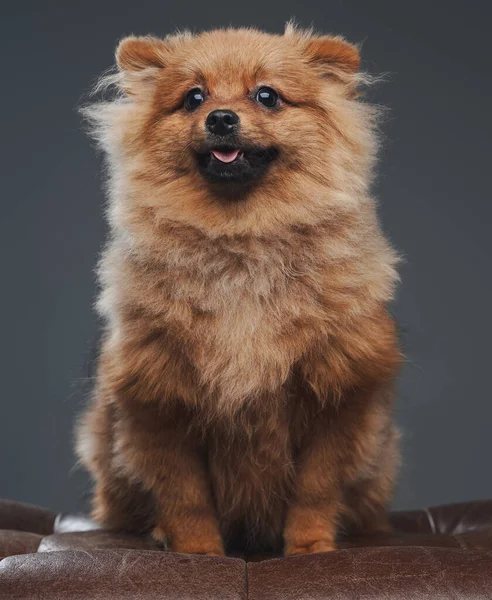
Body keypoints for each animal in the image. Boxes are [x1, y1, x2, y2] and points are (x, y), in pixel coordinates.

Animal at [76, 23, 400, 556]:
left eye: (266, 96)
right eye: (194, 98)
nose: (222, 117)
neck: (241, 242)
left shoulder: (337, 393)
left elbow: (315, 489)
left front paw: (310, 547)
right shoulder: (161, 399)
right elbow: (185, 495)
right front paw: (198, 552)